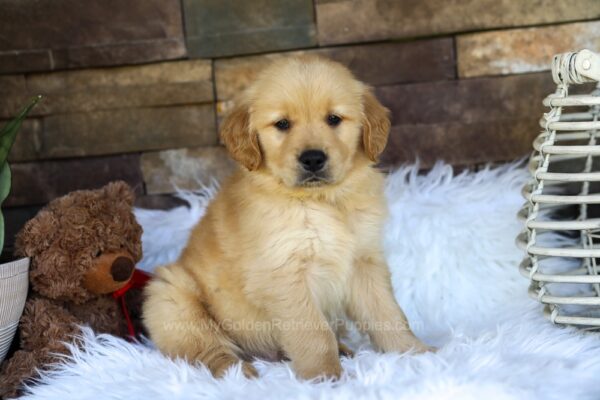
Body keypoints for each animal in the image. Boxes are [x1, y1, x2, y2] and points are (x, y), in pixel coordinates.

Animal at [143, 55, 428, 378]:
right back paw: (238, 373)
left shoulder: (364, 261)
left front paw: (417, 353)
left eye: (334, 119)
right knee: (207, 350)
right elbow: (314, 333)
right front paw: (325, 376)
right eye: (282, 124)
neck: (320, 202)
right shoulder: (284, 274)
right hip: (172, 298)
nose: (313, 159)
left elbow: (388, 313)